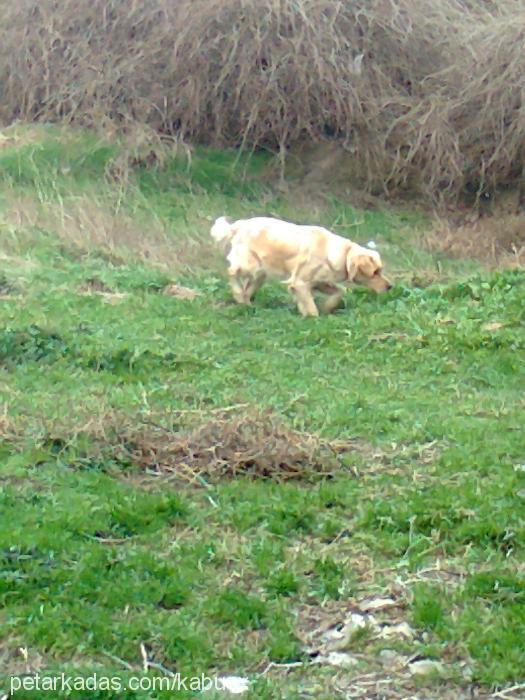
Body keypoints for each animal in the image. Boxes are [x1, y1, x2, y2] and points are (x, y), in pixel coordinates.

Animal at [211, 216, 390, 318]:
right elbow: (312, 309)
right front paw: (313, 317)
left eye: (380, 270)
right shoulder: (300, 282)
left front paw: (326, 307)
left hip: (261, 272)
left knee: (247, 289)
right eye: (375, 272)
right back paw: (238, 294)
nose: (390, 286)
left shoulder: (318, 282)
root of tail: (240, 224)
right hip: (250, 265)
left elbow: (339, 291)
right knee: (231, 272)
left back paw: (246, 305)